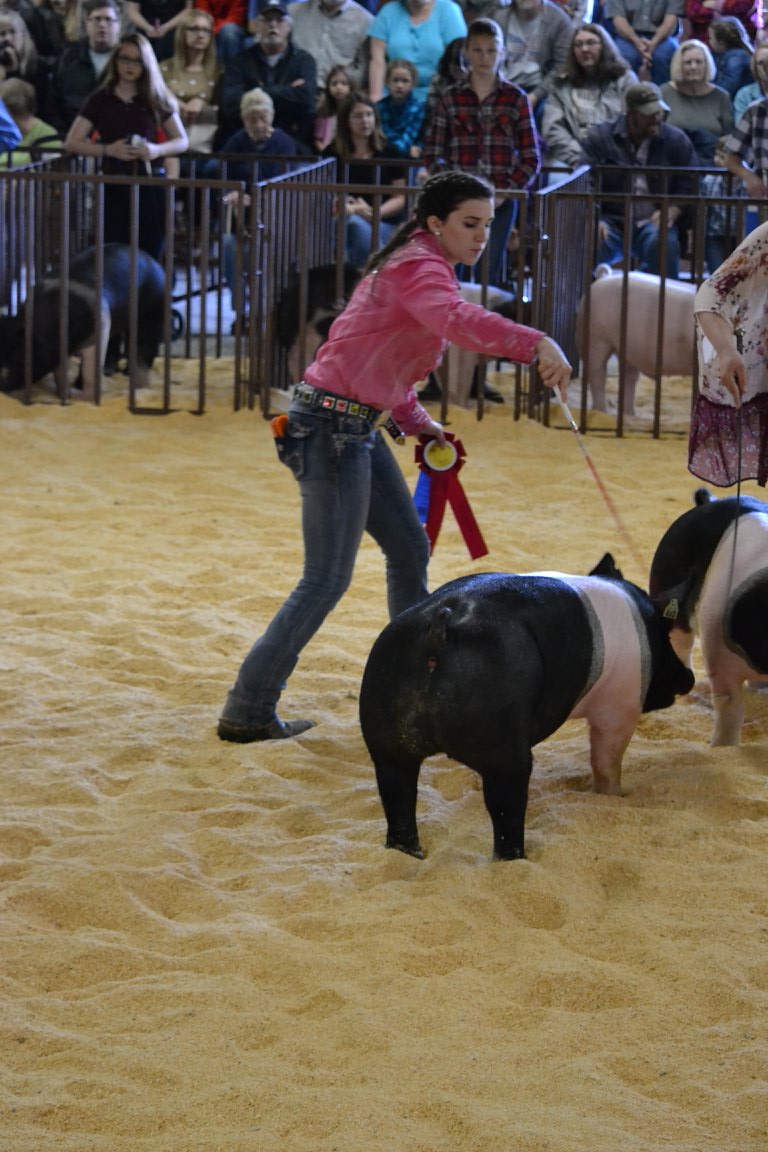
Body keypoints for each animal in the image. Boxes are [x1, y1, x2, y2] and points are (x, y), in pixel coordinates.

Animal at [0, 243, 164, 400]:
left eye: (18, 358)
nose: (4, 387)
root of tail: (156, 265)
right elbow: (60, 372)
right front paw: (64, 393)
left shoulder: (101, 323)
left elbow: (90, 368)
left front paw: (80, 396)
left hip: (152, 311)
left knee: (144, 348)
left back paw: (140, 387)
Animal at [356, 552, 695, 861]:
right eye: (666, 636)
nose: (690, 677)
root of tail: (438, 632)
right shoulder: (618, 710)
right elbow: (606, 762)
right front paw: (615, 797)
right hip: (505, 756)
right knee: (506, 812)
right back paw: (516, 859)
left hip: (387, 742)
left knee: (399, 800)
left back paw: (410, 854)